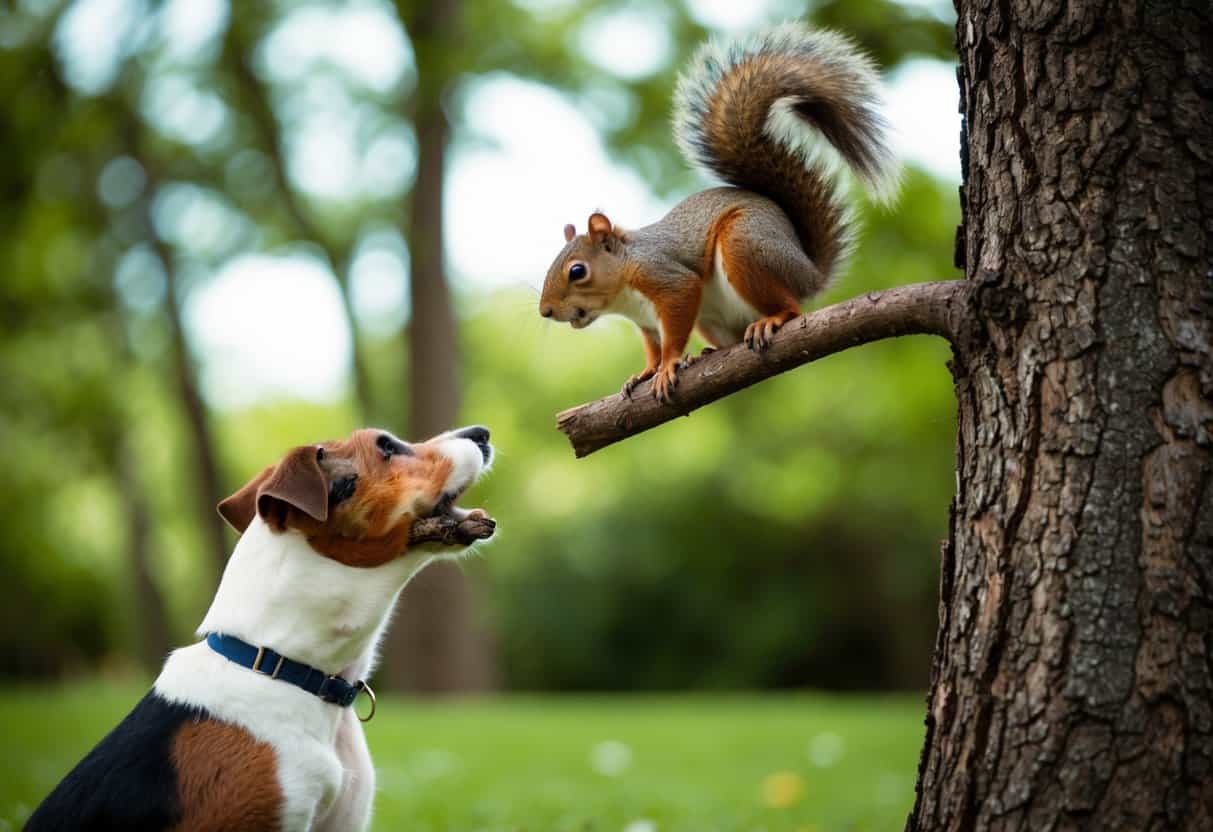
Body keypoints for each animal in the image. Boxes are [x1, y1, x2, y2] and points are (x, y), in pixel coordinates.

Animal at [539, 23, 900, 403]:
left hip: (746, 245)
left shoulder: (668, 279)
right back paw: (706, 354)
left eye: (577, 271)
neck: (624, 289)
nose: (545, 311)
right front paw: (646, 371)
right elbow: (652, 348)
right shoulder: (646, 323)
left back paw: (771, 320)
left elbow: (674, 326)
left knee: (791, 307)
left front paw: (668, 365)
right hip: (711, 317)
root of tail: (810, 273)